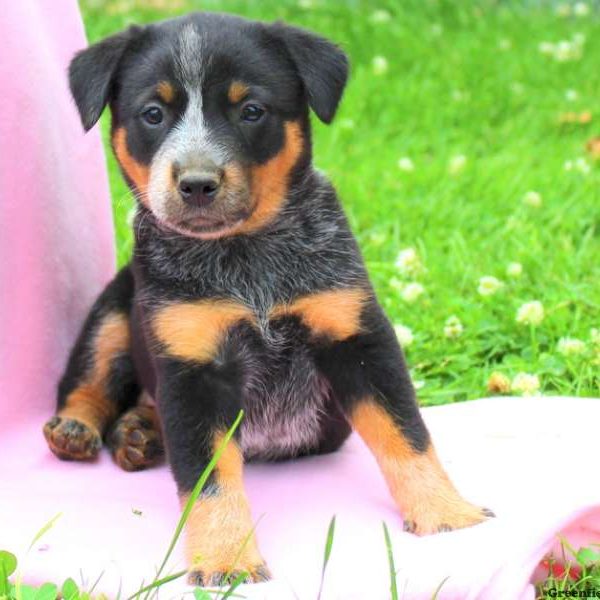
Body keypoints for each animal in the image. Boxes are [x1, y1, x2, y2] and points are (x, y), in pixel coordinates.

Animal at [42, 12, 492, 584]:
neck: (246, 257)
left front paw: (446, 513)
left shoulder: (357, 336)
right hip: (114, 310)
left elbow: (405, 431)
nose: (197, 183)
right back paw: (80, 428)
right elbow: (209, 480)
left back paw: (140, 430)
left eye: (251, 110)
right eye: (153, 114)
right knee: (90, 377)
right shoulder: (193, 367)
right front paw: (226, 560)